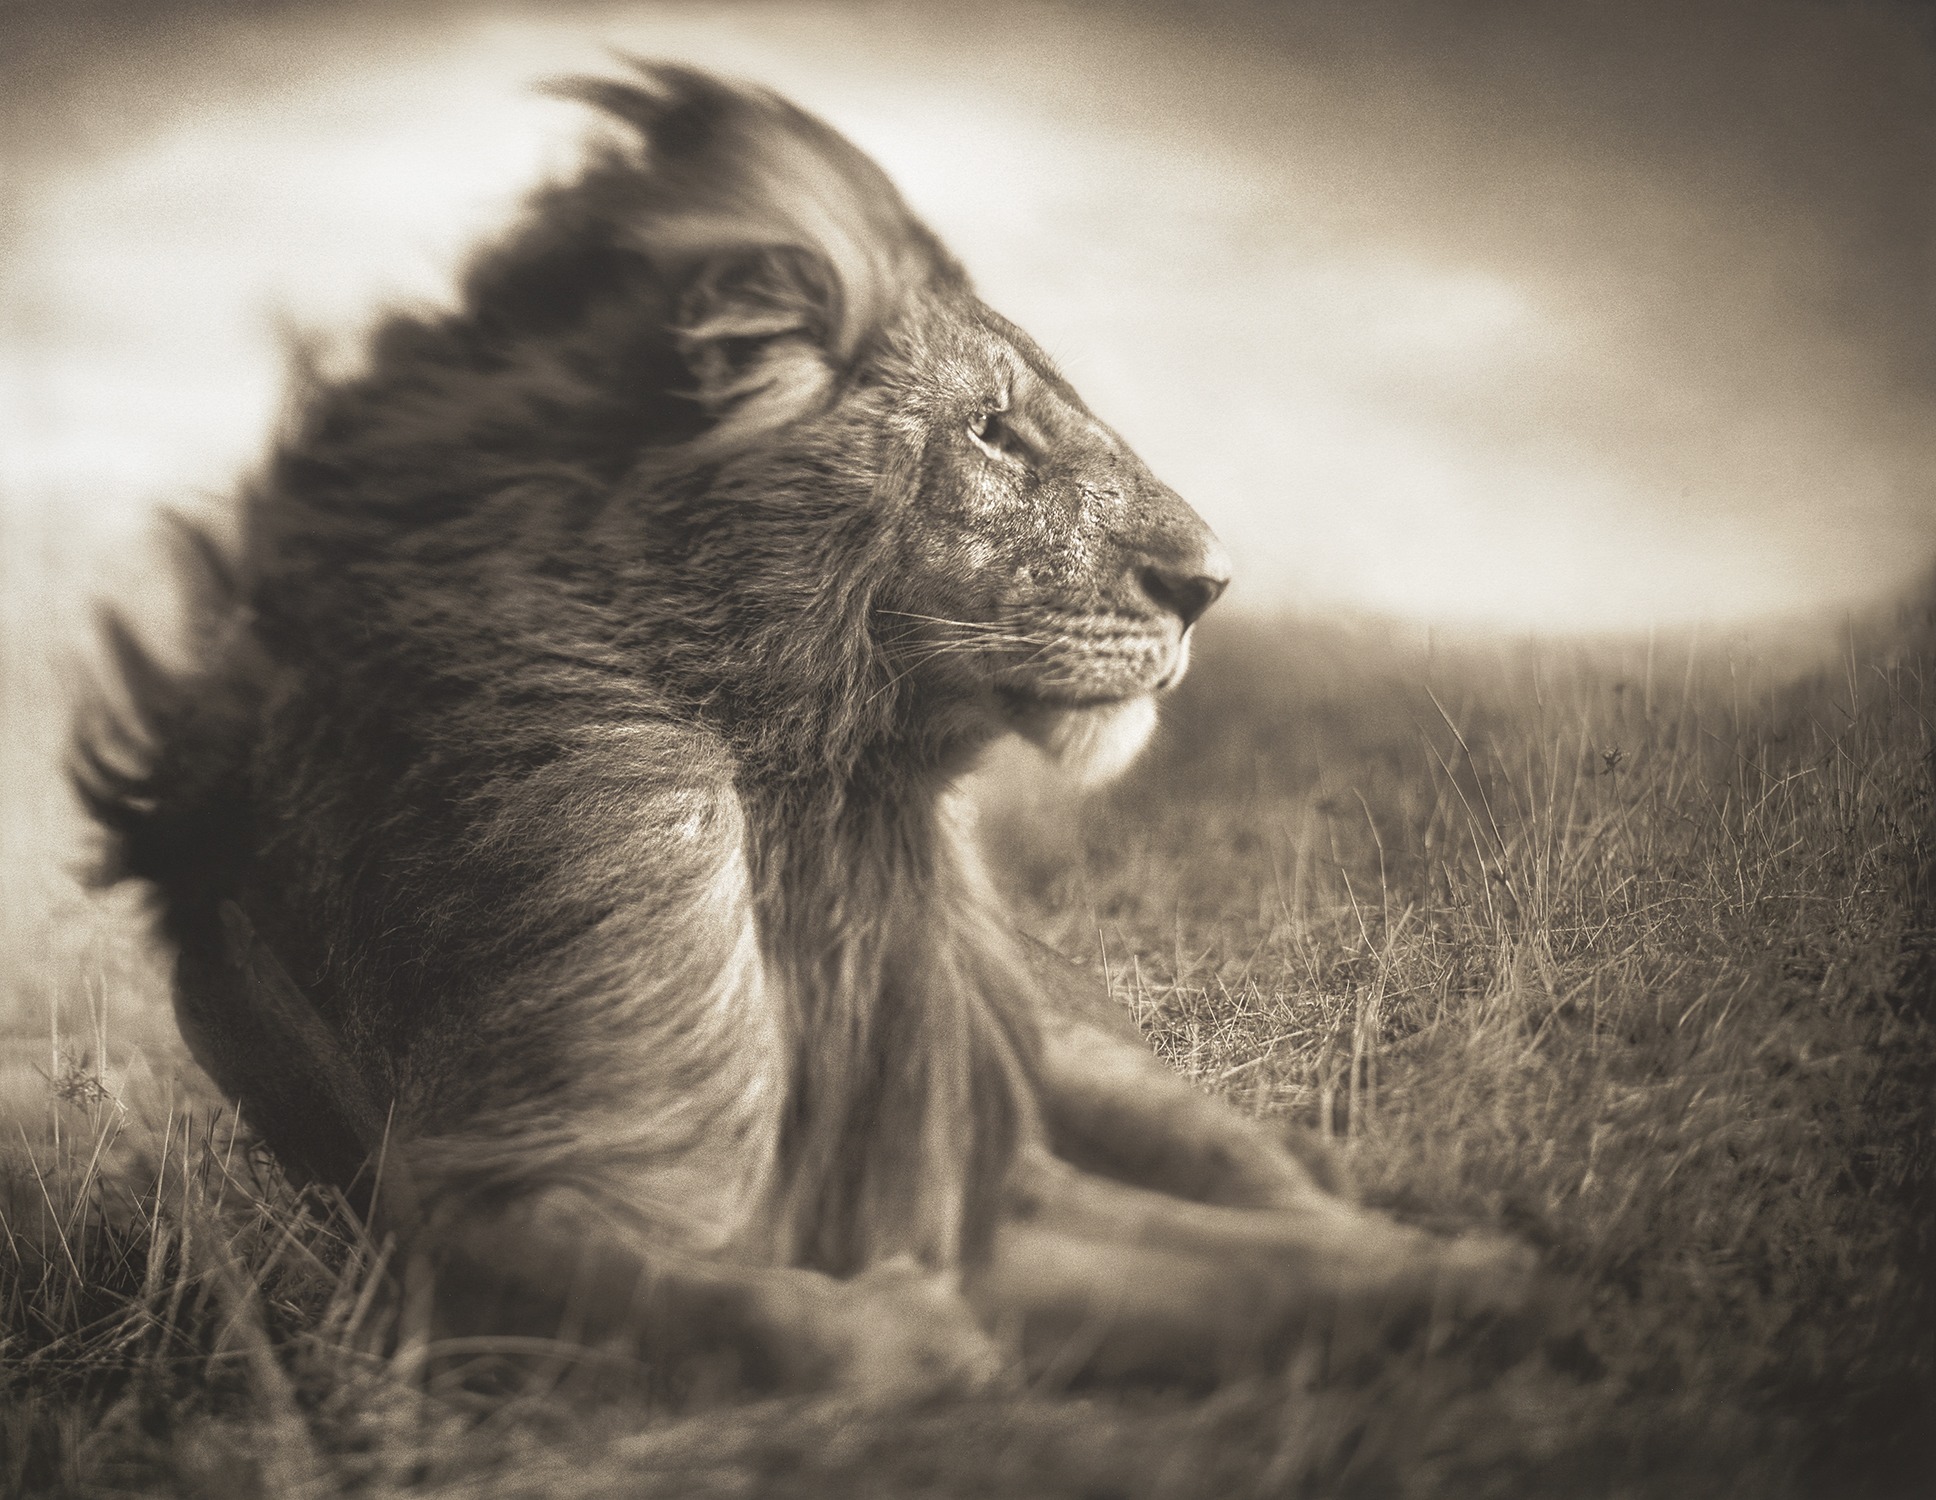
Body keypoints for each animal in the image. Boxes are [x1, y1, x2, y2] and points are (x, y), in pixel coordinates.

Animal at [77, 63, 1536, 1399]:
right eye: (994, 431)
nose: (1210, 585)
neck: (811, 798)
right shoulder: (473, 1218)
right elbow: (746, 1311)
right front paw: (916, 1336)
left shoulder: (976, 1173)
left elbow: (1284, 1264)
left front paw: (1486, 1275)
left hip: (1078, 1054)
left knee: (1258, 1162)